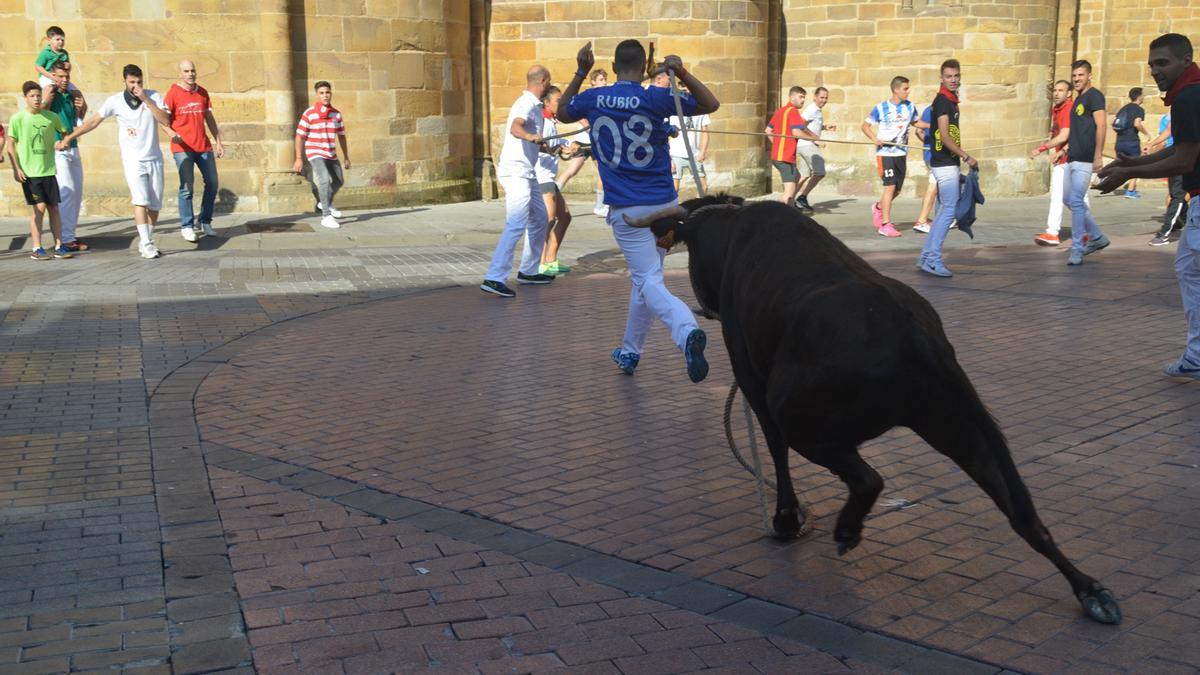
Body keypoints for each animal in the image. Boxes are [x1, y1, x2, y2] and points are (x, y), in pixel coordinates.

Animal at [628, 195, 1123, 624]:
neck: (731, 233)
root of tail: (915, 341)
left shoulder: (750, 376)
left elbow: (774, 450)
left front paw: (786, 519)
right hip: (960, 423)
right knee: (1022, 512)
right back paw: (1089, 590)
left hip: (801, 416)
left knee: (867, 477)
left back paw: (847, 530)